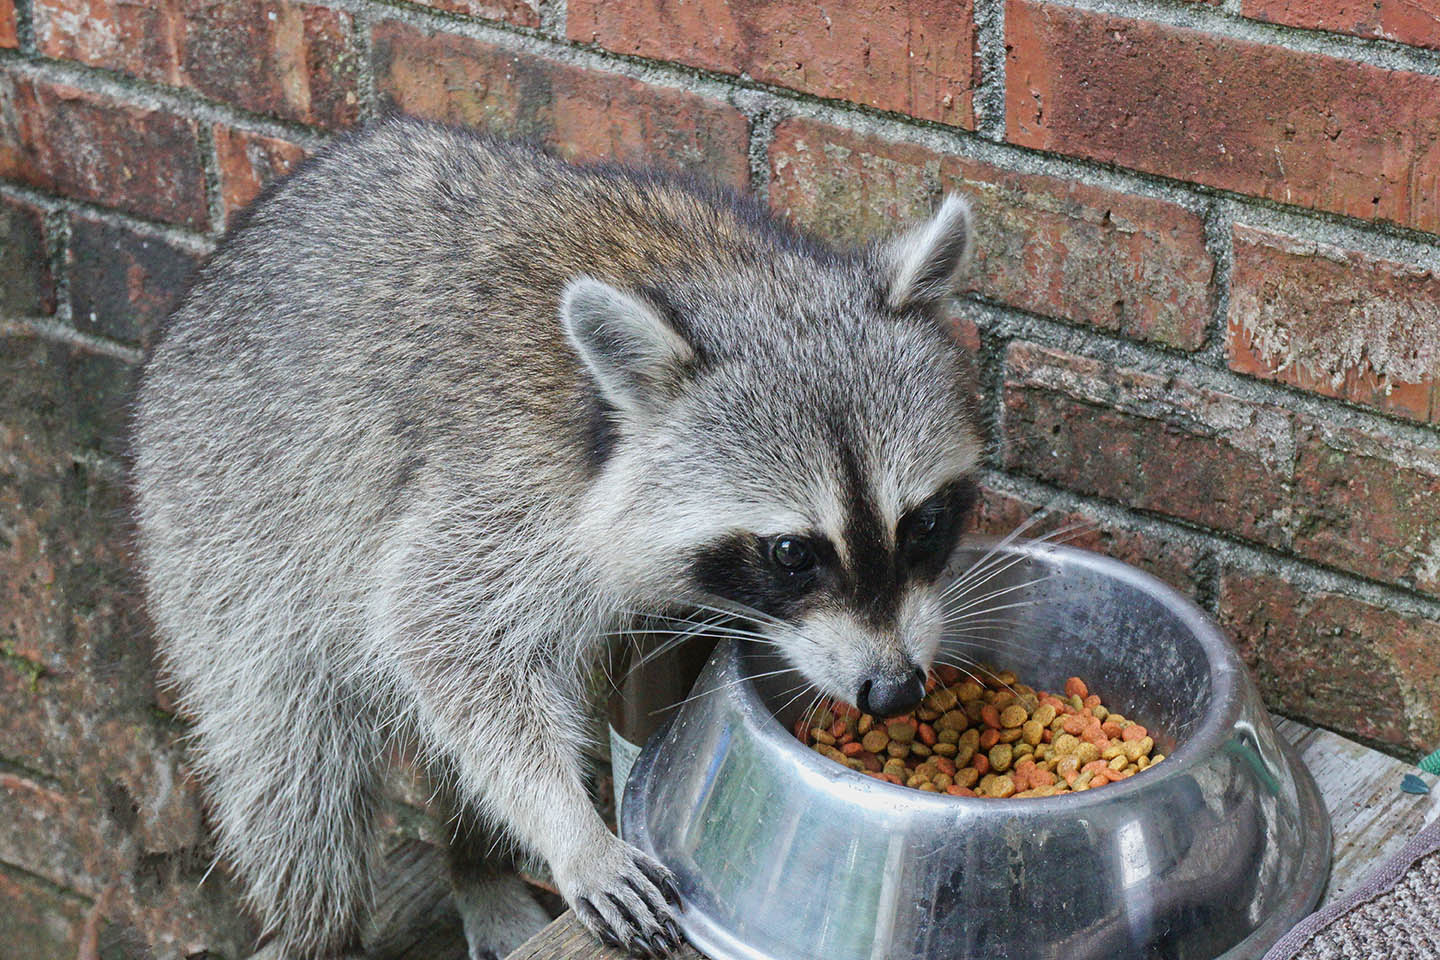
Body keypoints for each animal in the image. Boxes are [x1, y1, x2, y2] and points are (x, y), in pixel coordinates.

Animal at [129, 116, 984, 955]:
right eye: (792, 554)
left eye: (924, 523)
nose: (895, 690)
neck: (734, 277)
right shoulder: (497, 485)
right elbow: (439, 633)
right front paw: (573, 831)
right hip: (221, 538)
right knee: (294, 776)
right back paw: (321, 925)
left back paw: (472, 861)